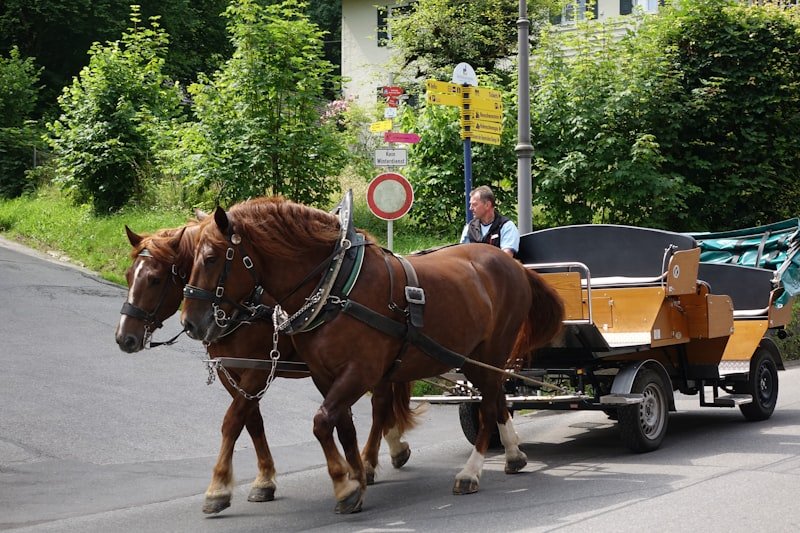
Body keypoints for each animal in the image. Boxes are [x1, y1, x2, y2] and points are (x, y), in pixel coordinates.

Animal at [114, 220, 419, 514]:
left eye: (154, 279)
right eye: (128, 276)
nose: (124, 337)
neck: (245, 305)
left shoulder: (258, 370)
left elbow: (233, 420)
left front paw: (219, 488)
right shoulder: (231, 371)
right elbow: (252, 421)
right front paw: (264, 480)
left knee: (380, 404)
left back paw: (370, 461)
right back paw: (393, 446)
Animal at [180, 195, 565, 513]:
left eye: (211, 258)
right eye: (188, 261)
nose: (190, 323)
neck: (336, 284)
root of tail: (513, 265)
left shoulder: (357, 371)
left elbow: (321, 422)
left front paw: (345, 485)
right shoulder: (324, 375)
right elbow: (342, 426)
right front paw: (357, 477)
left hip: (490, 353)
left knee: (486, 405)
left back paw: (471, 473)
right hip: (474, 358)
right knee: (496, 398)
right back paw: (513, 455)